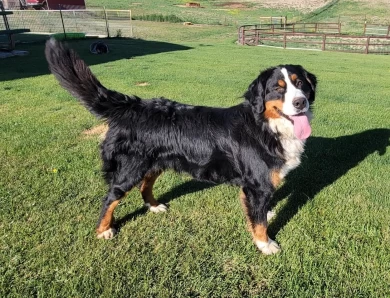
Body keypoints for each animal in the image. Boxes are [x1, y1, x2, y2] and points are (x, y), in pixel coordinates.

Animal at [44, 38, 316, 255]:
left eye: (301, 84)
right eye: (277, 89)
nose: (300, 102)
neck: (267, 127)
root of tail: (133, 107)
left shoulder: (261, 184)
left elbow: (260, 213)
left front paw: (267, 214)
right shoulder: (257, 185)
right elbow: (258, 223)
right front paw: (265, 244)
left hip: (155, 163)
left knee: (145, 185)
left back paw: (154, 206)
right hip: (131, 168)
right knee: (111, 197)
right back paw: (104, 229)